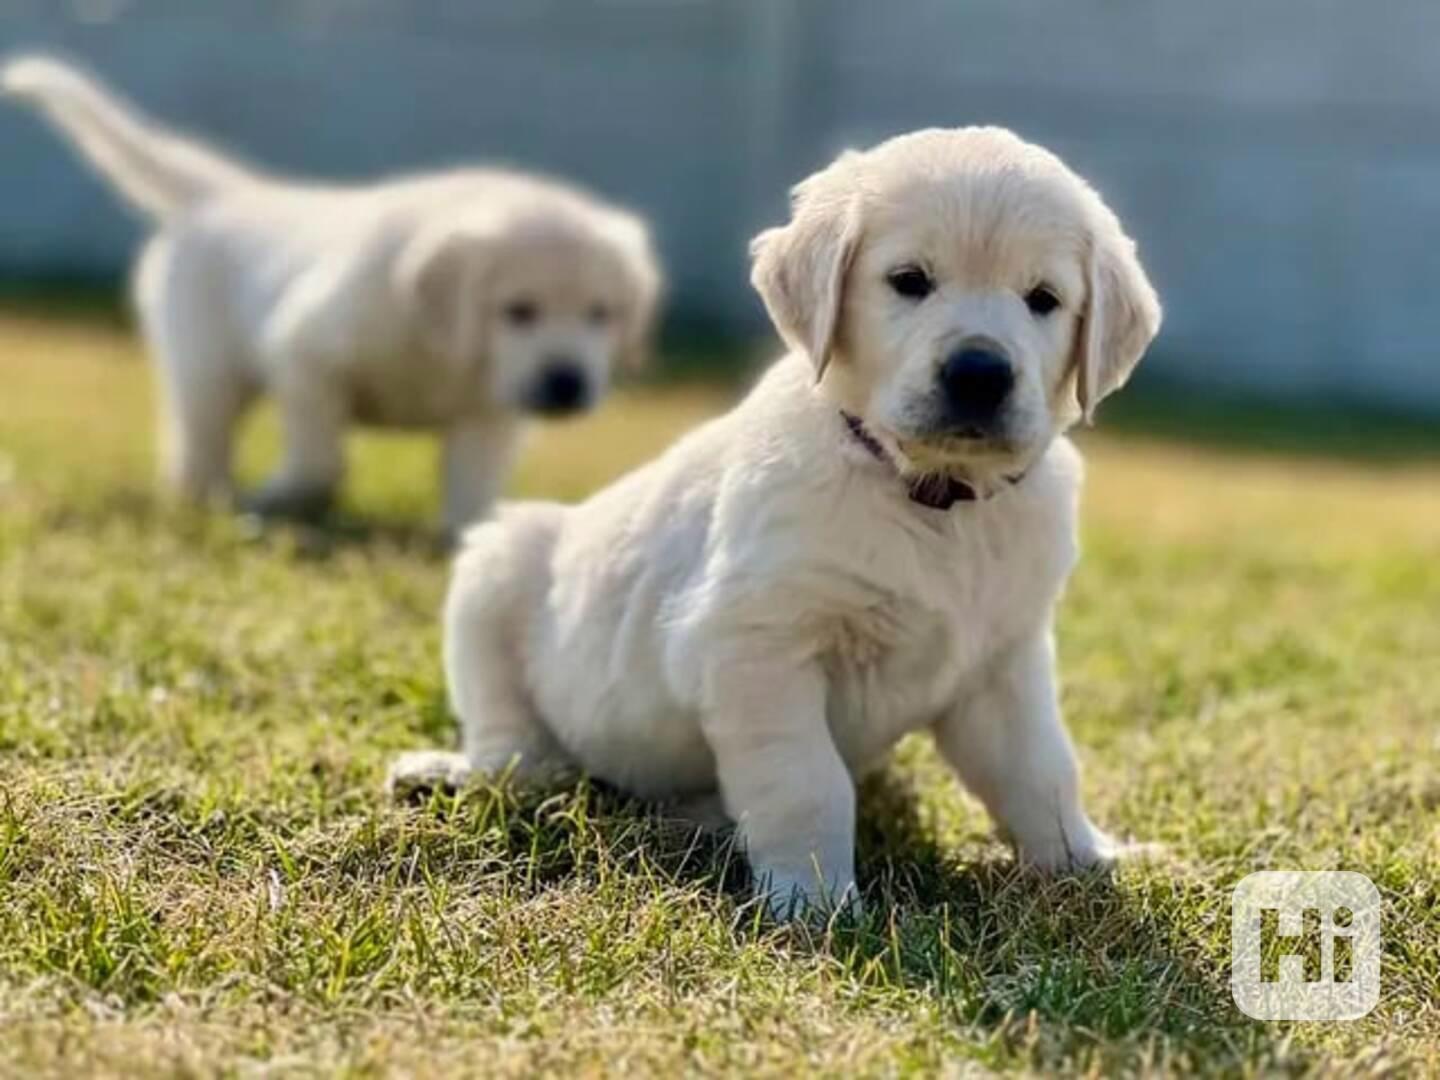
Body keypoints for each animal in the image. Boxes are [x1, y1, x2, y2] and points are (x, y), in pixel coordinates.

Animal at [0, 57, 659, 535]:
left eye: (602, 315)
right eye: (518, 310)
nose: (567, 383)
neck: (440, 348)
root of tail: (230, 194)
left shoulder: (489, 416)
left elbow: (472, 487)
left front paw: (469, 539)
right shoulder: (304, 358)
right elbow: (322, 461)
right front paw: (278, 499)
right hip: (206, 366)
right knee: (199, 432)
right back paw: (204, 494)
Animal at [391, 126, 1157, 921]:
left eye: (1044, 299)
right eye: (909, 280)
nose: (980, 372)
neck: (929, 496)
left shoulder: (1003, 662)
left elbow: (1041, 769)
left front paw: (1086, 859)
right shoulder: (756, 645)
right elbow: (806, 780)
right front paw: (815, 901)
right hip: (497, 570)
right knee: (513, 746)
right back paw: (451, 772)